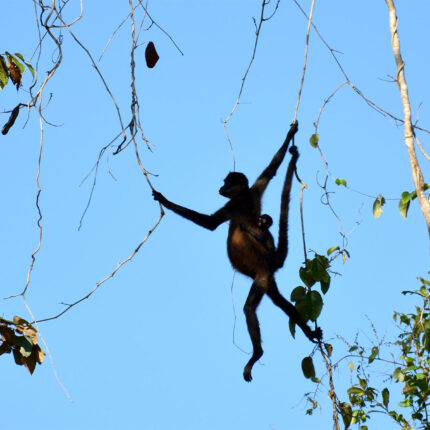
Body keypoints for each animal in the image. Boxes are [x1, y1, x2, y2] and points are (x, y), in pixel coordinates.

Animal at [153, 122, 320, 382]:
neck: (244, 195)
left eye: (227, 183)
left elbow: (210, 223)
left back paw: (257, 354)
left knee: (249, 308)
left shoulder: (234, 204)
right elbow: (271, 169)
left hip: (260, 276)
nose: (220, 187)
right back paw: (307, 331)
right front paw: (290, 135)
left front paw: (164, 200)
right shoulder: (254, 190)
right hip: (267, 279)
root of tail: (270, 263)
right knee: (280, 301)